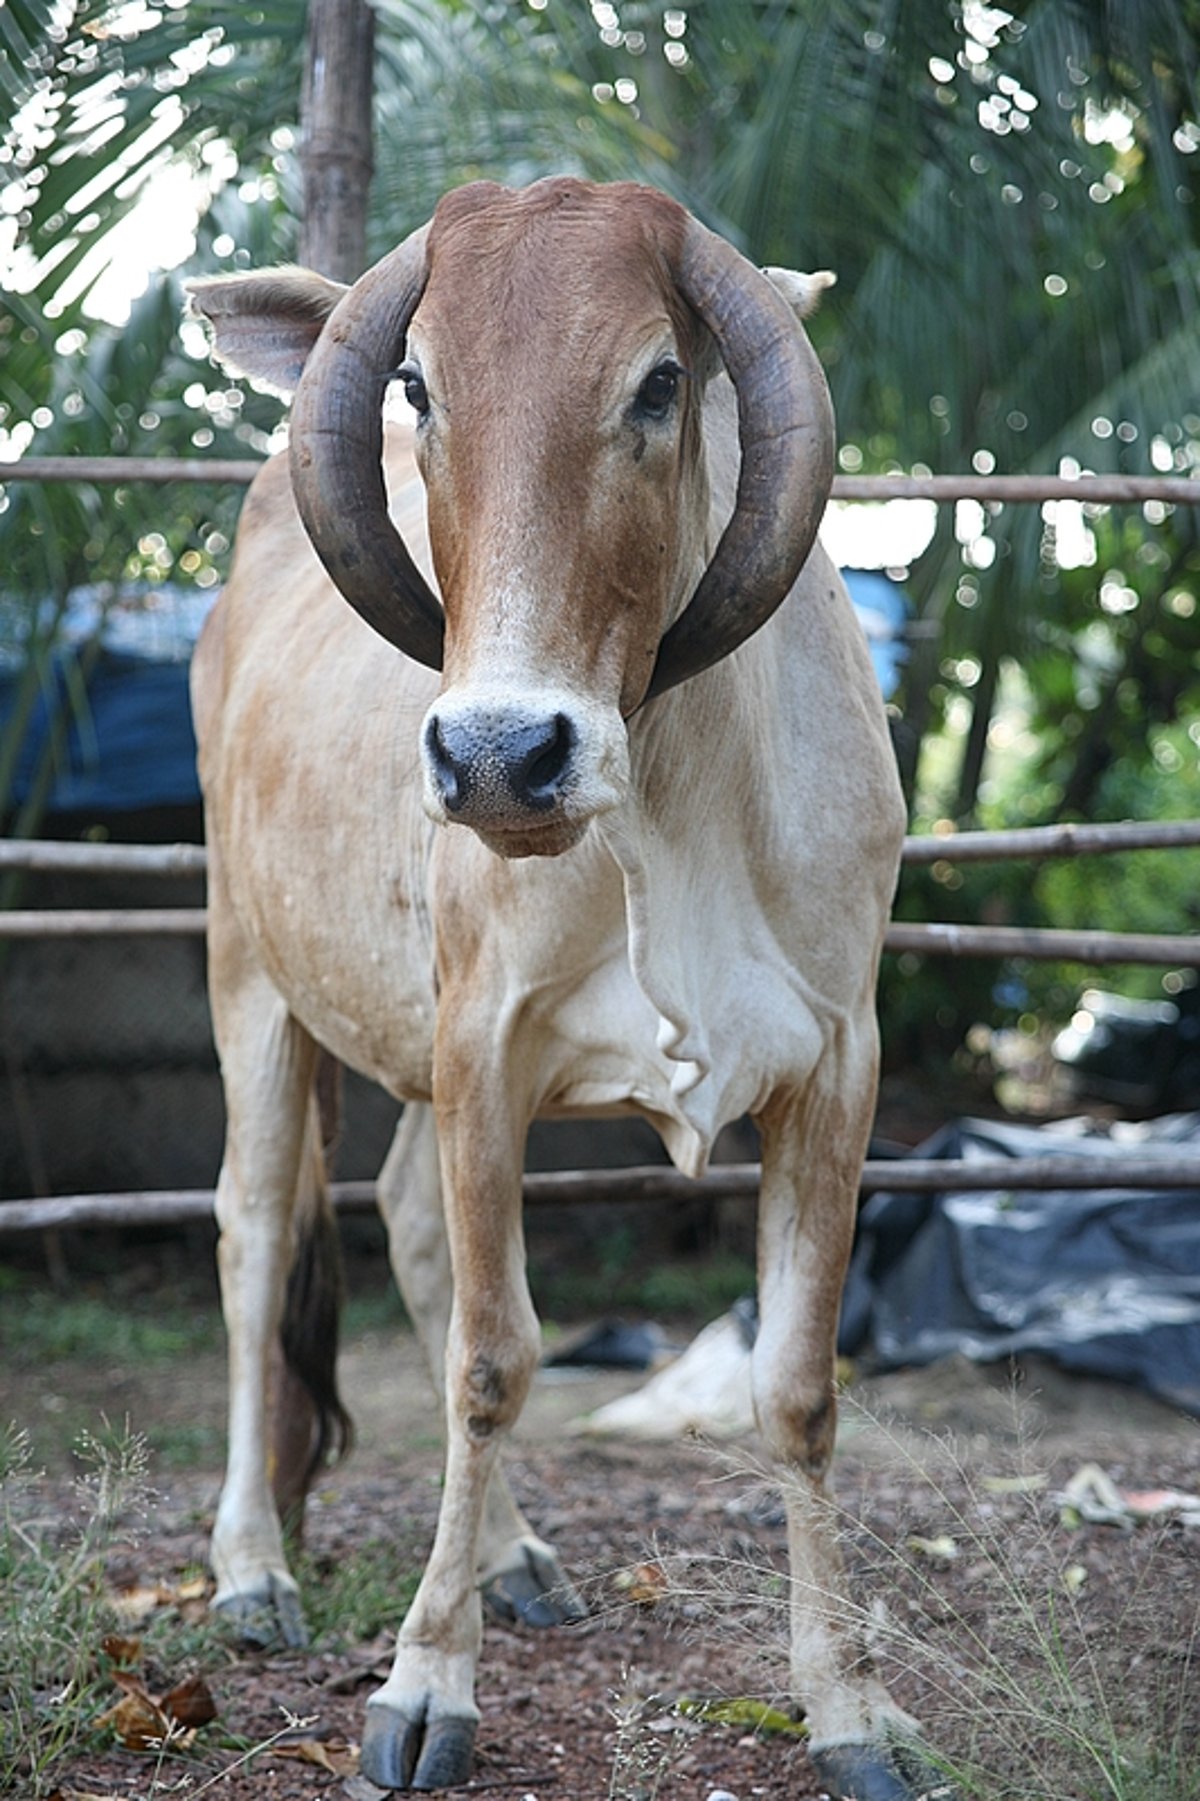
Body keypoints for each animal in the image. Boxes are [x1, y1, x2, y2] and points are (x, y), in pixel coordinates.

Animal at [187, 171, 918, 1801]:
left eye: (659, 383)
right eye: (416, 383)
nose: (498, 756)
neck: (675, 796)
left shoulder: (839, 1067)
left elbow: (797, 1387)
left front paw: (848, 1705)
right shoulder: (486, 1046)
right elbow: (489, 1362)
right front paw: (420, 1690)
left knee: (404, 1223)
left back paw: (516, 1557)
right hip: (252, 980)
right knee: (260, 1238)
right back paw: (252, 1568)